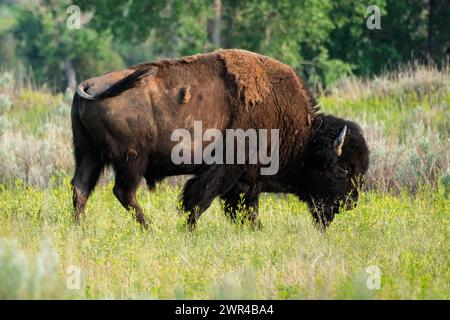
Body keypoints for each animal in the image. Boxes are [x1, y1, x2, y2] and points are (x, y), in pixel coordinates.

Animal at [71, 48, 370, 230]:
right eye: (344, 169)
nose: (351, 203)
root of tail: (90, 84)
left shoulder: (246, 181)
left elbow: (243, 209)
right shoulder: (226, 170)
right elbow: (199, 200)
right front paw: (188, 230)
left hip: (88, 154)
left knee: (81, 188)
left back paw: (81, 229)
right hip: (131, 159)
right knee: (123, 192)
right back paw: (151, 229)